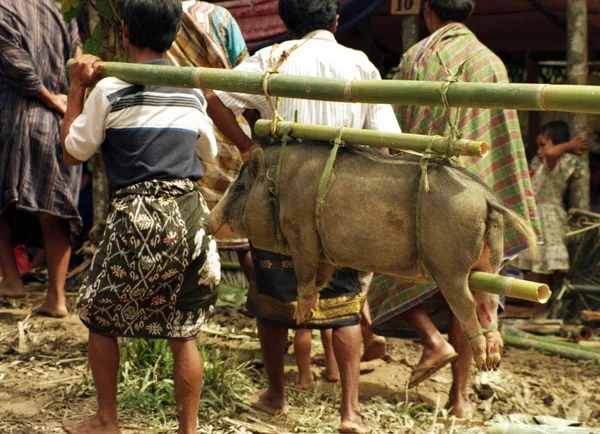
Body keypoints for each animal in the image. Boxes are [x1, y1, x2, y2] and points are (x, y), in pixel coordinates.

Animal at [209, 143, 536, 370]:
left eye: (239, 188)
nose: (208, 220)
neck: (279, 185)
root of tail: (488, 199)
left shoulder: (301, 234)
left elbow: (304, 273)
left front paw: (300, 316)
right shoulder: (323, 249)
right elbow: (320, 277)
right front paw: (310, 310)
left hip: (449, 267)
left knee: (467, 304)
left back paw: (482, 360)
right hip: (490, 261)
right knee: (488, 301)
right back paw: (494, 358)